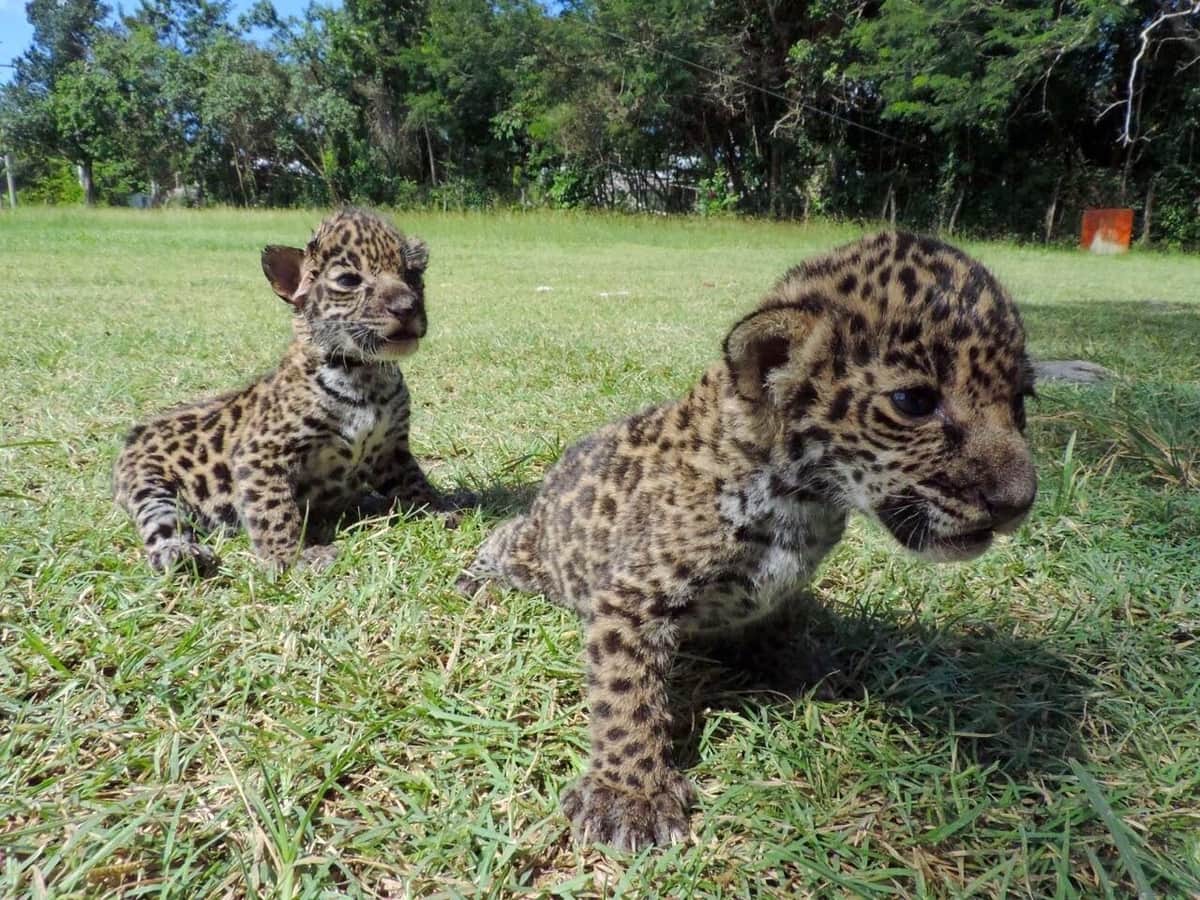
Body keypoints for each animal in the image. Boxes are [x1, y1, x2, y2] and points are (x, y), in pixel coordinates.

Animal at [114, 208, 468, 574]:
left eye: (412, 275)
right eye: (349, 281)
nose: (406, 306)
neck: (365, 376)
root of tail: (139, 431)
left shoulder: (391, 450)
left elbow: (413, 481)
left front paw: (438, 508)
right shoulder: (262, 454)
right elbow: (274, 510)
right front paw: (289, 555)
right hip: (150, 485)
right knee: (162, 523)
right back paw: (180, 552)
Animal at [457, 230, 1038, 851]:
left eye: (1021, 401)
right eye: (914, 403)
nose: (1018, 502)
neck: (801, 502)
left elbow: (780, 623)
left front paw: (807, 663)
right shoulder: (629, 597)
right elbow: (627, 695)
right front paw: (630, 795)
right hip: (539, 549)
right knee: (506, 534)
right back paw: (477, 581)